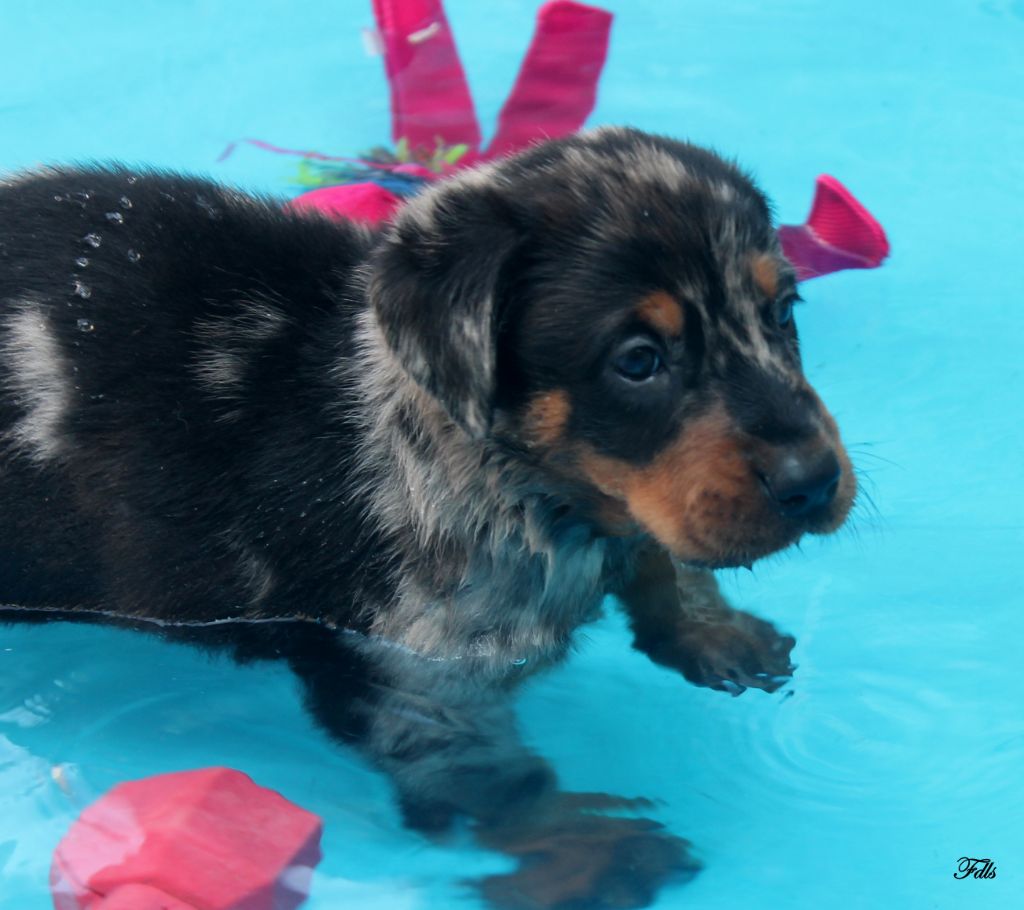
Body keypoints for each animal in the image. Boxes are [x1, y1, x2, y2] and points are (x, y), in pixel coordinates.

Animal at [0, 129, 856, 908]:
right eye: (638, 360)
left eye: (782, 312)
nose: (813, 484)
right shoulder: (407, 669)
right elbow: (496, 780)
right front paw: (588, 855)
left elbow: (659, 555)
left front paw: (713, 629)